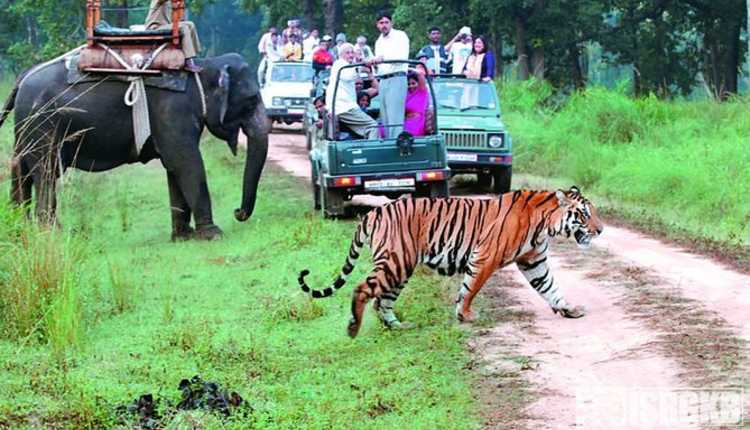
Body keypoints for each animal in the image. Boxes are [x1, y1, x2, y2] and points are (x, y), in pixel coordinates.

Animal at [0, 52, 270, 240]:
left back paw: (21, 229)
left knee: (21, 170)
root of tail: (22, 78)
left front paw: (183, 237)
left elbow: (174, 166)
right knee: (46, 172)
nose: (238, 212)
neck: (203, 66)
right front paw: (213, 234)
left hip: (26, 126)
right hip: (43, 123)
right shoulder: (173, 110)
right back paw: (53, 233)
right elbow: (186, 162)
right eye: (251, 100)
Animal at [298, 186, 604, 338]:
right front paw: (465, 315)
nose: (601, 230)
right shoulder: (485, 257)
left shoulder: (534, 261)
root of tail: (374, 212)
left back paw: (397, 327)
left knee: (381, 300)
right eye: (584, 214)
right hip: (396, 262)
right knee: (363, 289)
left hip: (400, 267)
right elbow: (471, 288)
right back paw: (353, 328)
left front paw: (568, 309)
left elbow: (549, 287)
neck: (545, 224)